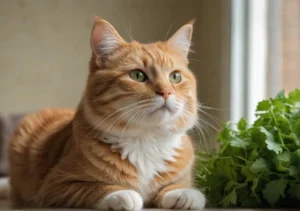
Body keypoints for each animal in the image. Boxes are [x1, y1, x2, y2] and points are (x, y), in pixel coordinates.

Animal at [3, 16, 205, 211]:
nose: (166, 92)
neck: (146, 140)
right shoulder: (56, 185)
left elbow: (178, 185)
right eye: (138, 75)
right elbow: (95, 187)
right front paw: (122, 194)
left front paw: (185, 193)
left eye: (175, 77)